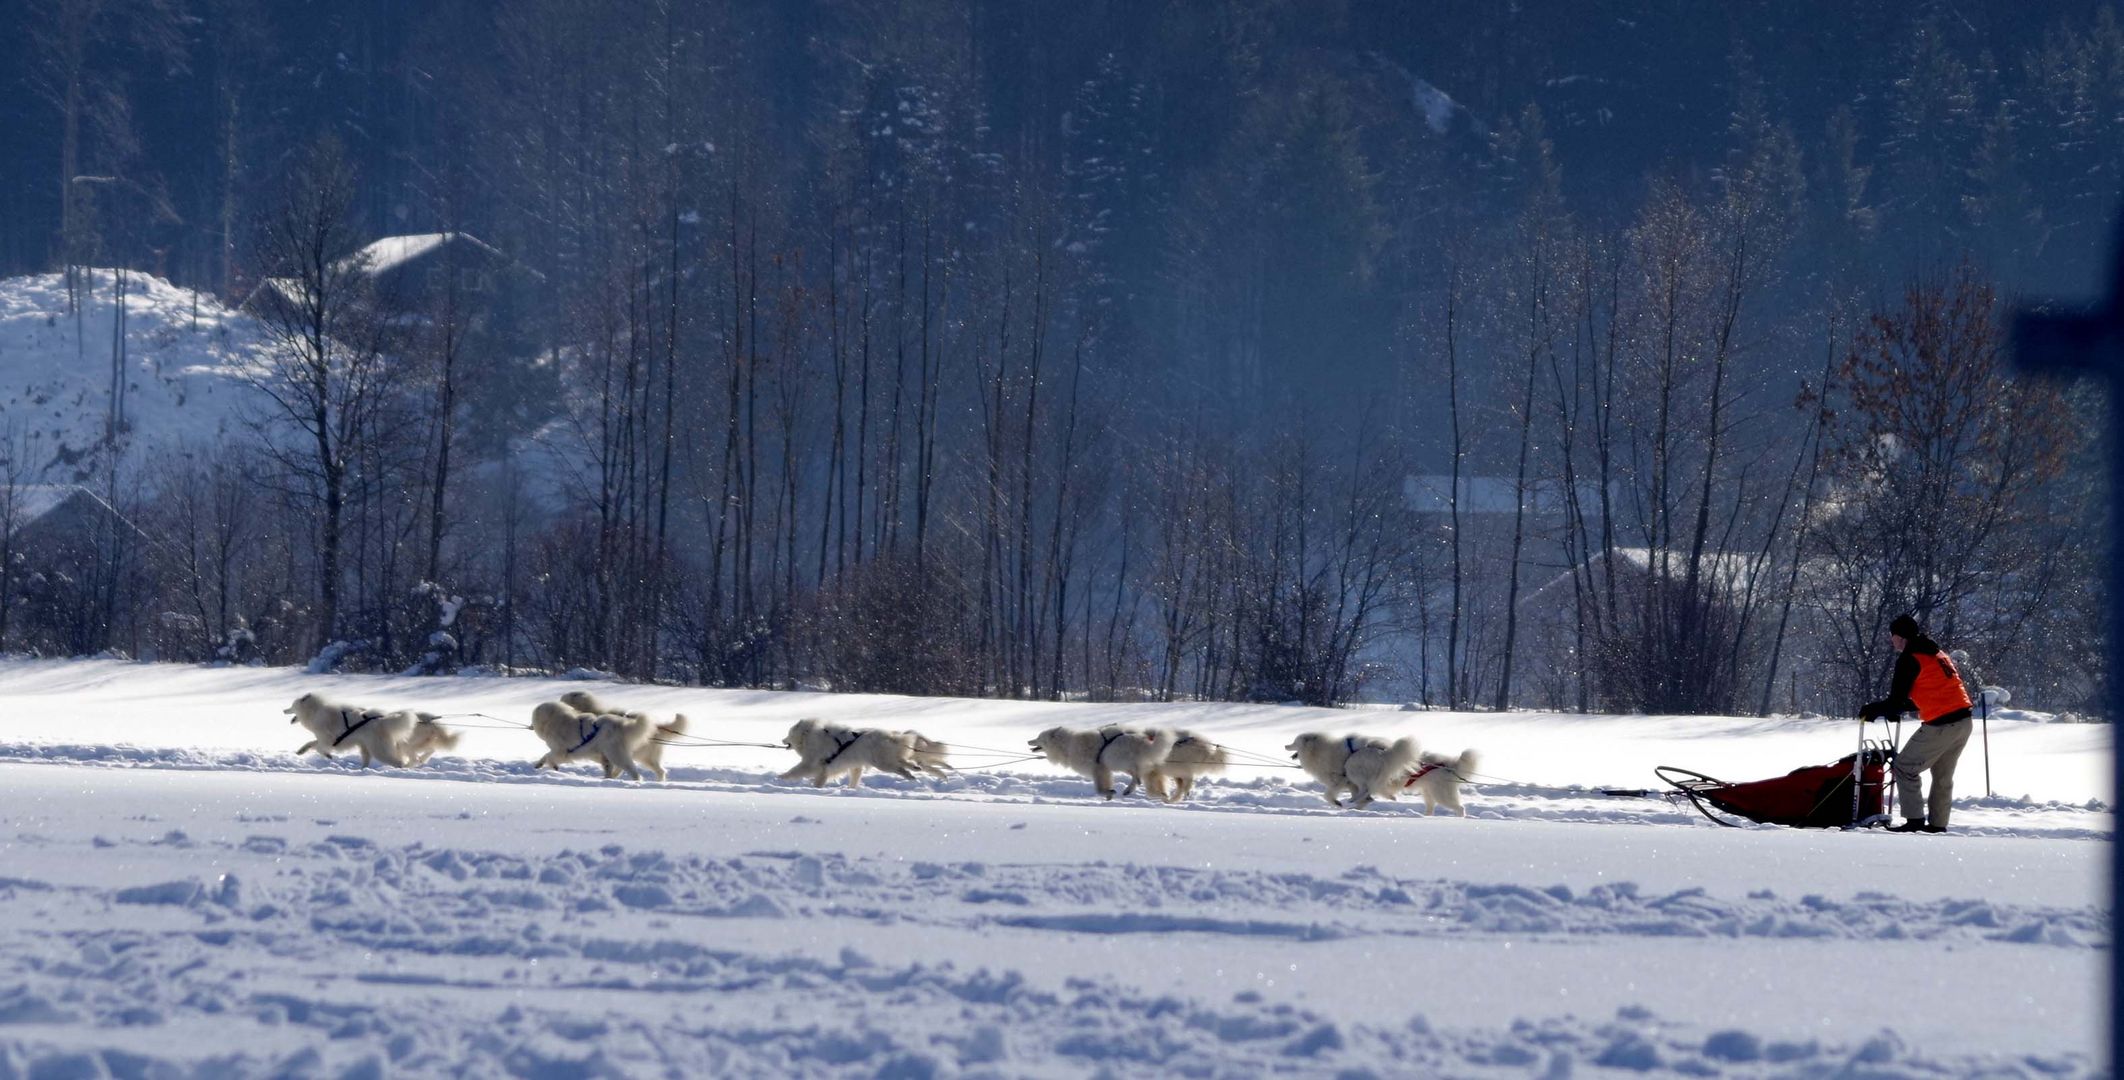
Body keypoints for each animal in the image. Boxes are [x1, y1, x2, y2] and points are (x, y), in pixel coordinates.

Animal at [560, 688, 692, 782]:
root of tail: (658, 726)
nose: (560, 699)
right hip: (644, 756)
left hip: (641, 755)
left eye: (567, 697)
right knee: (660, 770)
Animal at [1028, 727, 1180, 803]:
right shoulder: (1104, 769)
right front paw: (1109, 795)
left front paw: (1109, 793)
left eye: (1038, 738)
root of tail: (1143, 742)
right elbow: (1104, 786)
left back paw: (1131, 787)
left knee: (1136, 774)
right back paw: (1159, 794)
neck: (1067, 745)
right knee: (1149, 784)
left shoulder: (1099, 768)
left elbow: (1099, 788)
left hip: (1114, 758)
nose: (1028, 741)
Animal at [1282, 731, 1418, 807]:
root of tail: (1384, 753)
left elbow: (1327, 795)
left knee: (1365, 788)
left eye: (1294, 742)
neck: (1316, 751)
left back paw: (1354, 799)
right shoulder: (1349, 783)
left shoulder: (1338, 780)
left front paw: (1337, 803)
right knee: (1371, 788)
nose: (1285, 746)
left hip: (1352, 767)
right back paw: (1387, 797)